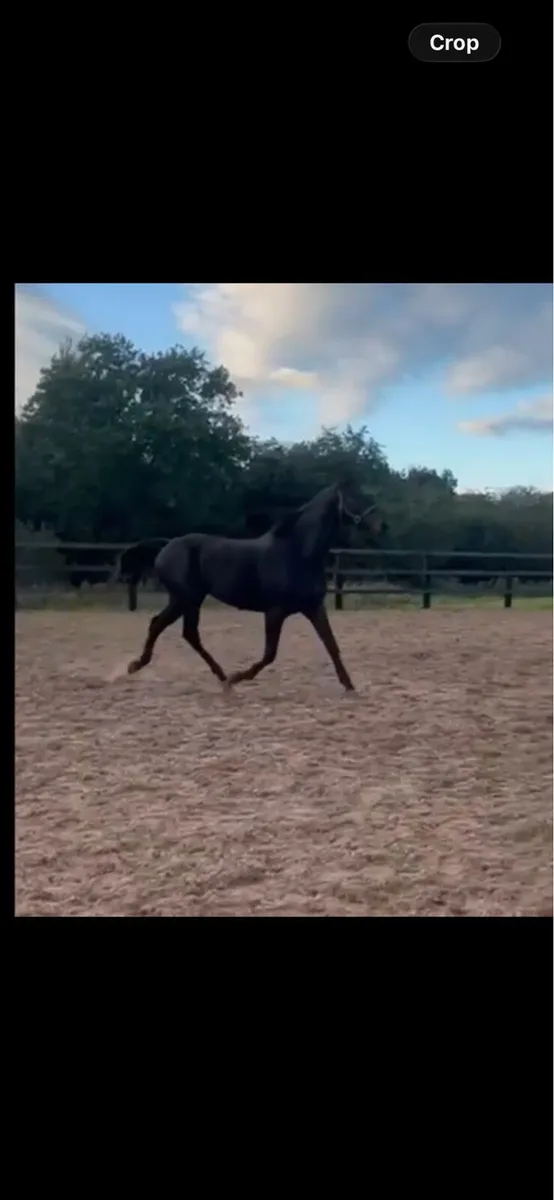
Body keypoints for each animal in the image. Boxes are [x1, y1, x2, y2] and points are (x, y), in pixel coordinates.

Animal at [125, 482, 385, 691]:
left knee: (181, 631)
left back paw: (219, 676)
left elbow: (332, 645)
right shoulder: (275, 611)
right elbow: (270, 654)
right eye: (355, 497)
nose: (380, 525)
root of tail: (167, 545)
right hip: (185, 599)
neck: (298, 553)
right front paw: (238, 677)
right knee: (168, 627)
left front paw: (349, 686)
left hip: (188, 600)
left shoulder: (314, 607)